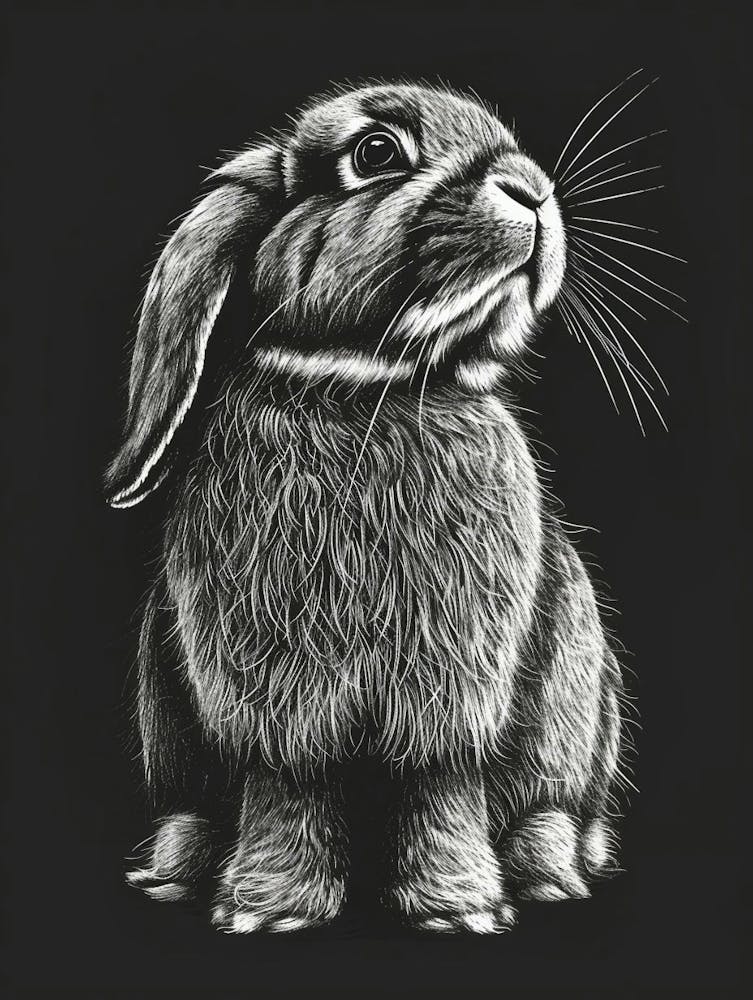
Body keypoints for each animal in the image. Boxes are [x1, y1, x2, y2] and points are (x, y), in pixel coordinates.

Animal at [107, 81, 626, 934]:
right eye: (376, 152)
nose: (531, 190)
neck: (370, 387)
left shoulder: (451, 690)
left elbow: (438, 786)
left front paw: (458, 910)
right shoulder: (275, 698)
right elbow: (290, 786)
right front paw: (266, 910)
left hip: (573, 715)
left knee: (547, 810)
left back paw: (550, 878)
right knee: (193, 810)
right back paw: (175, 875)